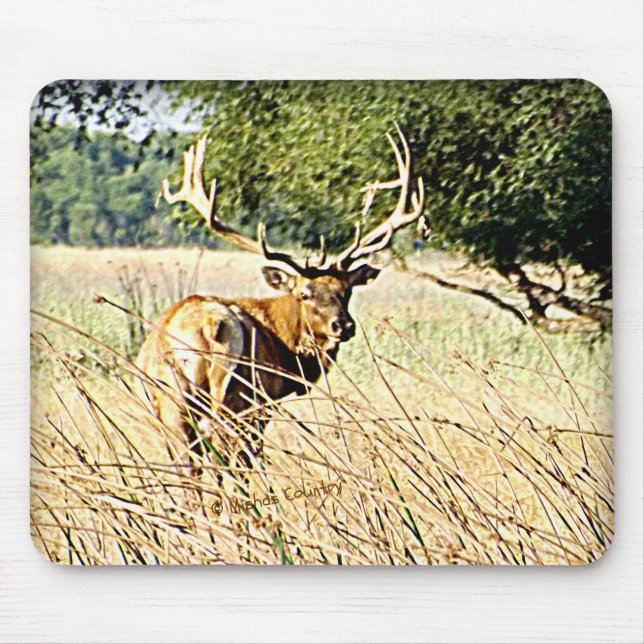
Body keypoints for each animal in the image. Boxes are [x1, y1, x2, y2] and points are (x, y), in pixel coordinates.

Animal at [135, 125, 426, 472]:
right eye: (304, 294)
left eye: (347, 290)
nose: (343, 325)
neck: (286, 349)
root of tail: (204, 328)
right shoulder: (264, 399)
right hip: (237, 396)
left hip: (169, 401)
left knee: (189, 466)